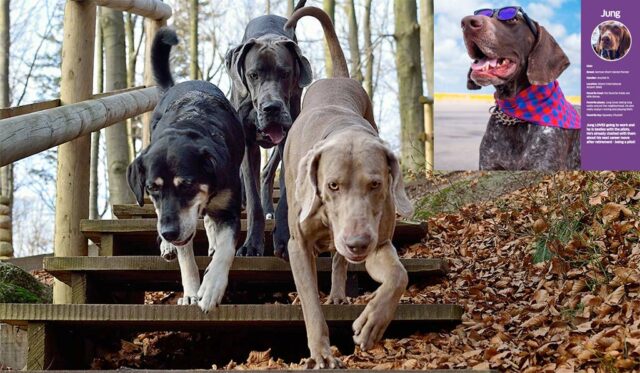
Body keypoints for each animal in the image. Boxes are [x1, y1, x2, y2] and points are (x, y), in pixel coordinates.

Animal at [126, 28, 244, 310]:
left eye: (188, 185)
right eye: (151, 188)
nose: (169, 233)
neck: (191, 122)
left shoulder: (229, 208)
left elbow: (226, 250)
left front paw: (212, 288)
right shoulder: (177, 219)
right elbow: (186, 258)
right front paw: (191, 292)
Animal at [226, 0, 312, 258]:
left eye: (285, 73)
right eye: (253, 75)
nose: (271, 107)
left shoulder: (288, 139)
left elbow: (285, 194)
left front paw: (283, 239)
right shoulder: (246, 143)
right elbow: (252, 198)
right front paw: (251, 245)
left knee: (267, 172)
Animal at [282, 6, 412, 370]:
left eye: (376, 184)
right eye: (332, 185)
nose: (357, 243)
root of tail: (337, 76)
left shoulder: (379, 242)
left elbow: (398, 276)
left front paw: (372, 322)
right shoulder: (298, 244)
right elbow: (311, 303)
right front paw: (321, 353)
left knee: (340, 261)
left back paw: (339, 294)